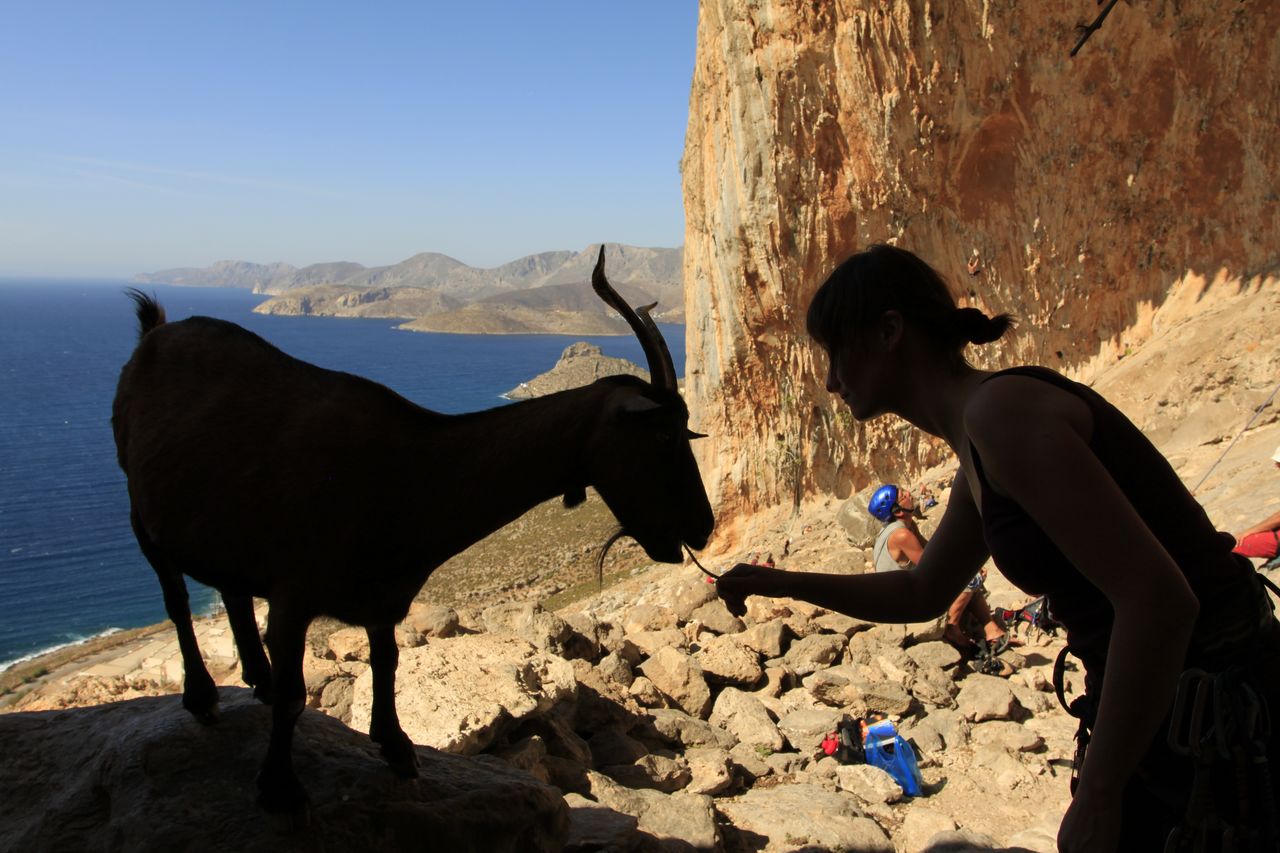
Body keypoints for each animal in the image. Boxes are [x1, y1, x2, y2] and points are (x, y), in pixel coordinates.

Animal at [113, 244, 716, 804]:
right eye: (663, 436)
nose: (704, 527)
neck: (413, 472)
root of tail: (154, 332)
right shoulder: (293, 594)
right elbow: (295, 693)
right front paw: (280, 787)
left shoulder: (384, 596)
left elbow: (387, 660)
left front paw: (397, 746)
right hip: (140, 512)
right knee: (176, 599)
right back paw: (202, 696)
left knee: (232, 591)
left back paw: (254, 679)